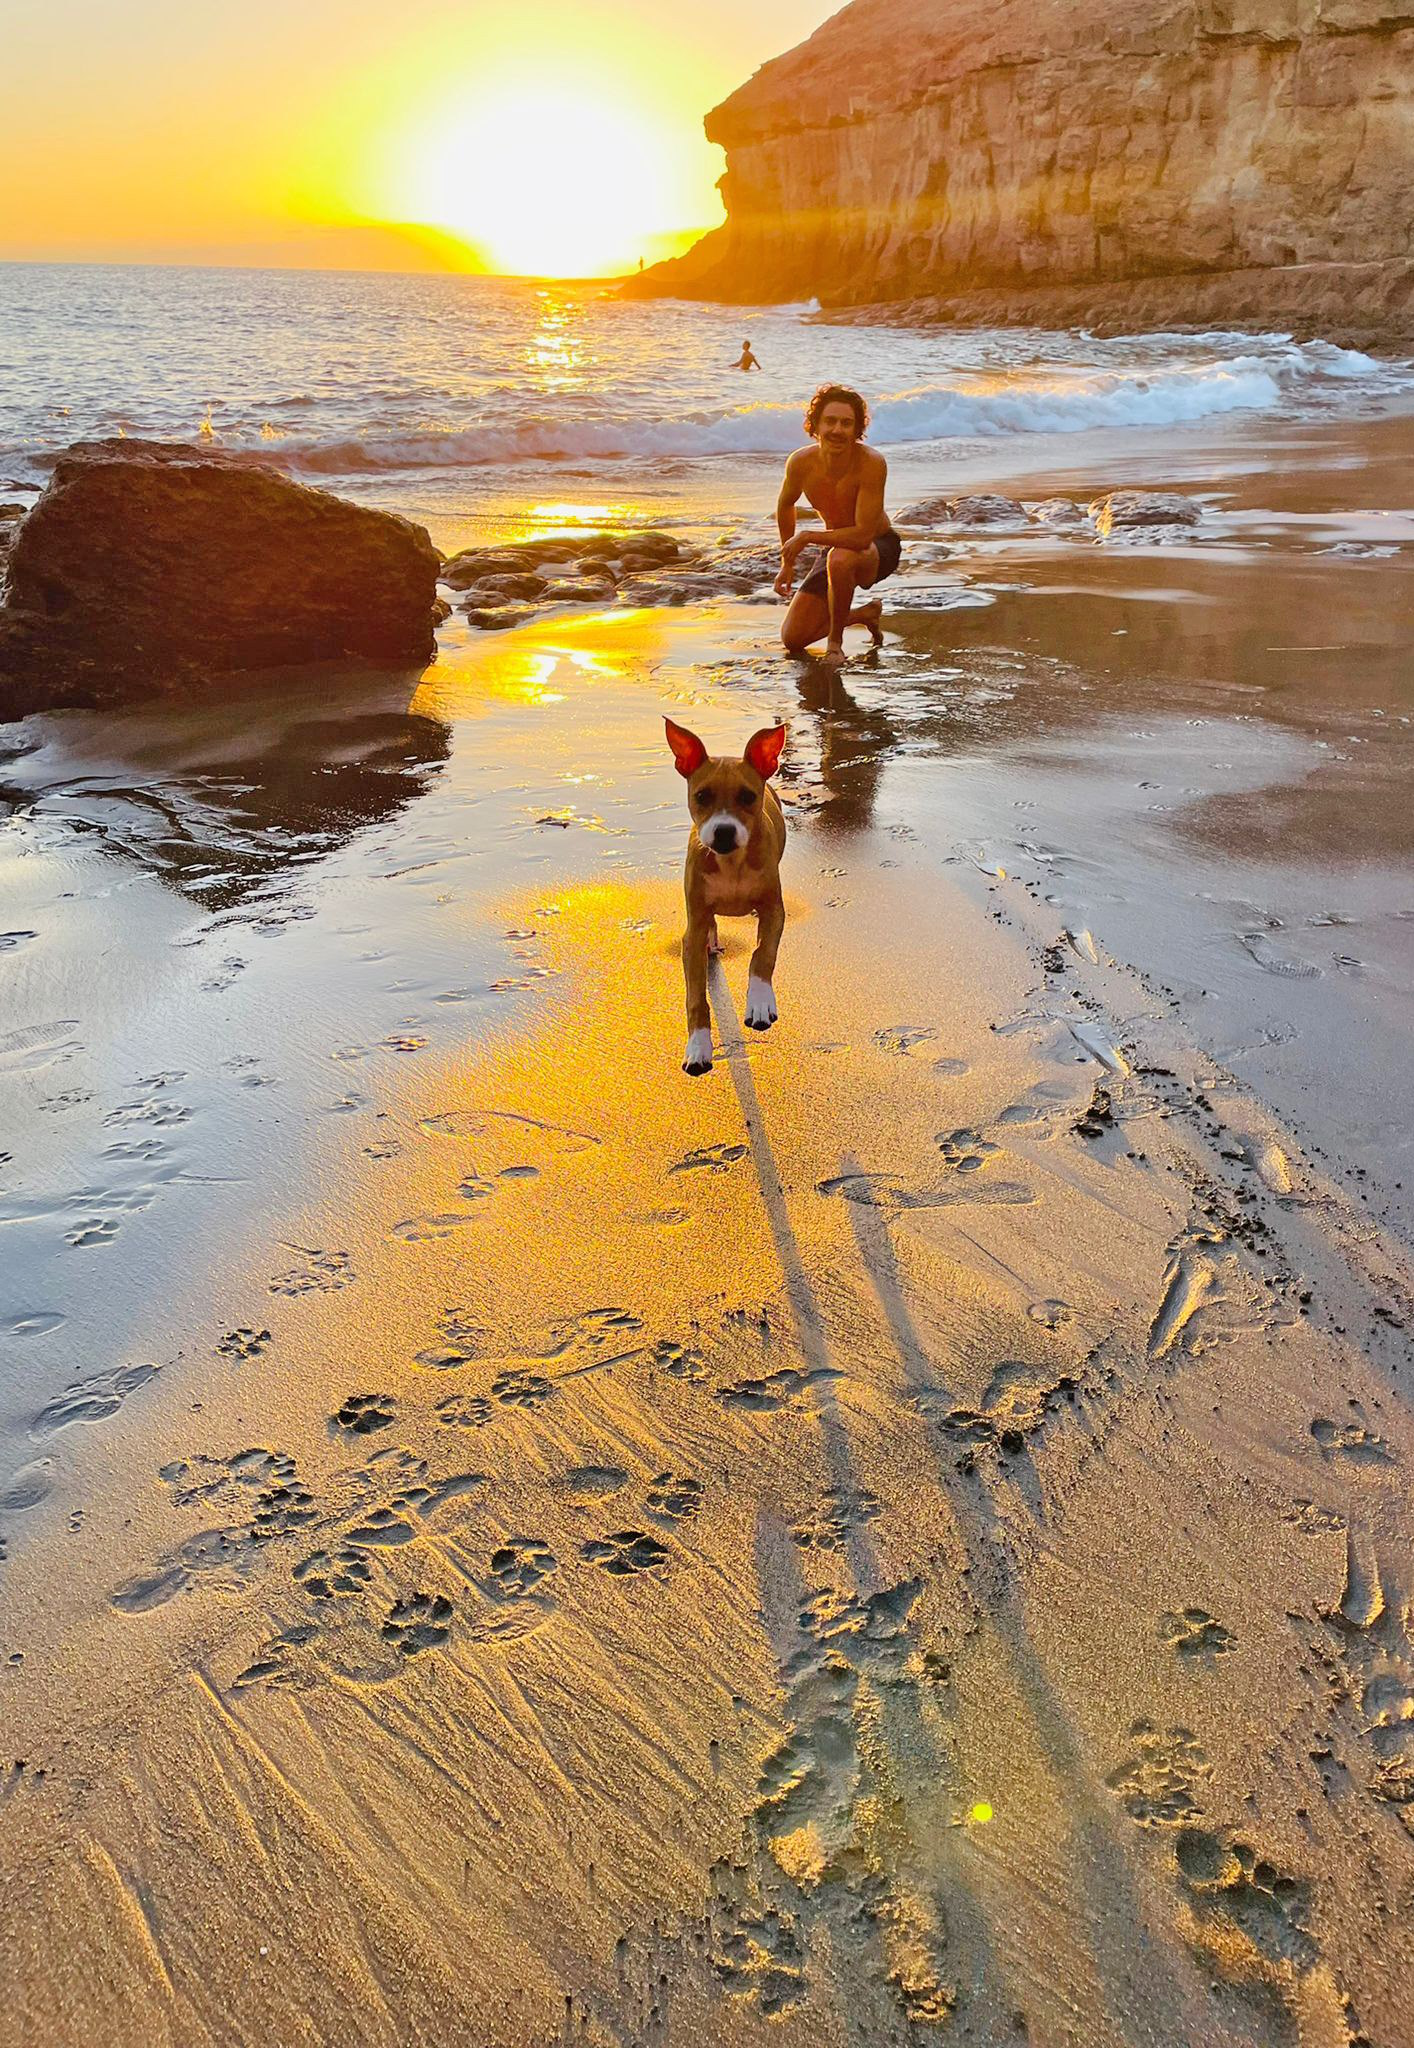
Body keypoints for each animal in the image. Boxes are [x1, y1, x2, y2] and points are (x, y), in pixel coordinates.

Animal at [659, 716, 782, 1073]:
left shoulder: (774, 910)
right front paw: (698, 1046)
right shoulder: (694, 927)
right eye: (702, 795)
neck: (732, 864)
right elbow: (696, 997)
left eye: (748, 796)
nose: (724, 831)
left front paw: (759, 1002)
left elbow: (763, 954)